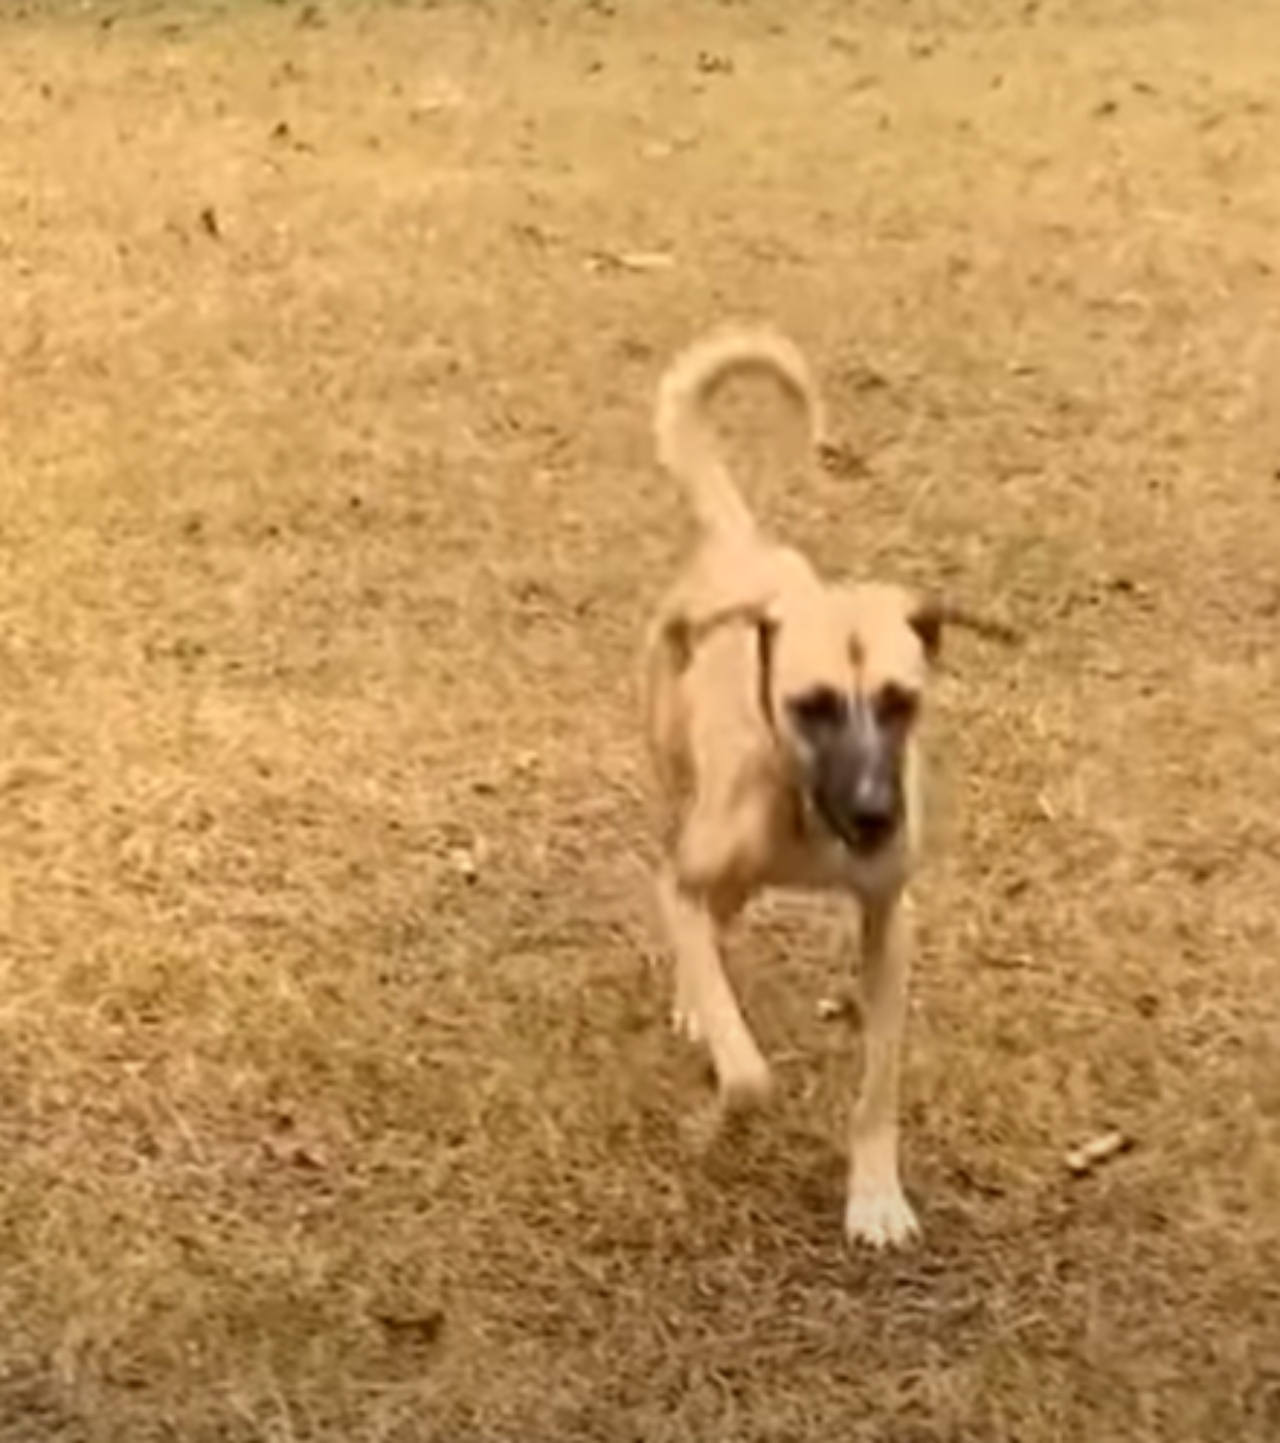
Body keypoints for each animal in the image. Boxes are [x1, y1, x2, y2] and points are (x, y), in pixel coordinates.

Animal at [640, 321, 1010, 1246]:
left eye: (901, 700)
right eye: (811, 706)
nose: (876, 813)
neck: (808, 809)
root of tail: (744, 546)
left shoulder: (889, 918)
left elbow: (879, 1080)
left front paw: (874, 1192)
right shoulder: (688, 878)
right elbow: (748, 1074)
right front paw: (718, 1118)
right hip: (678, 790)